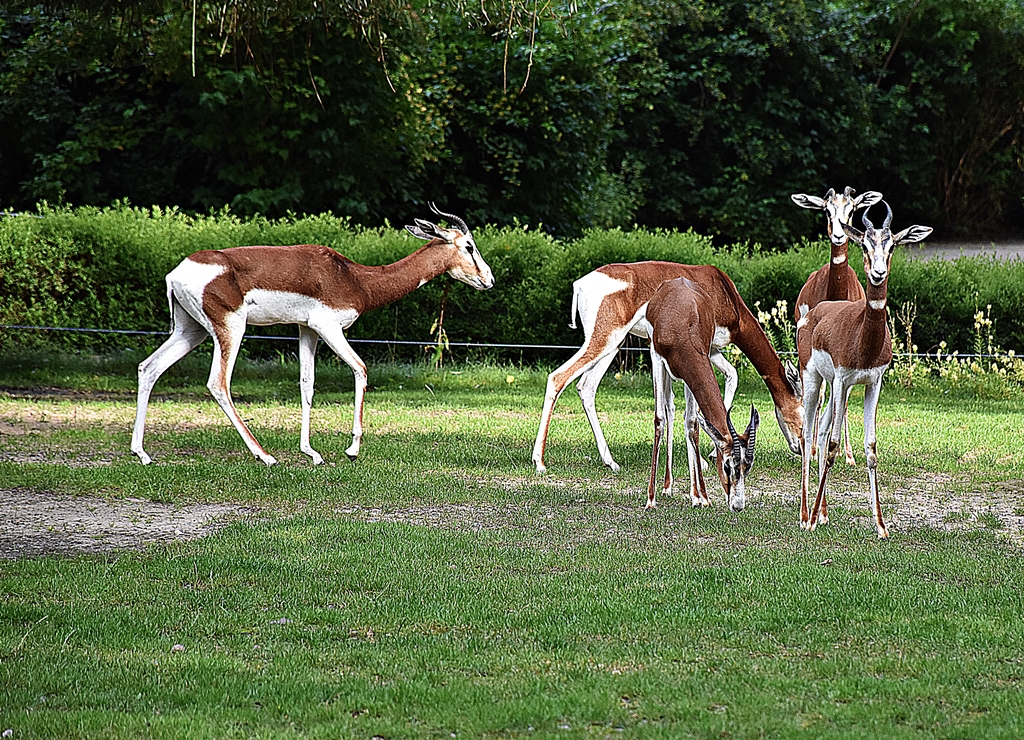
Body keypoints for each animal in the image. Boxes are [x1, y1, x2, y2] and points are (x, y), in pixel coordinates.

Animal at [130, 204, 494, 466]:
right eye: (469, 246)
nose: (489, 280)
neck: (355, 278)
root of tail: (177, 272)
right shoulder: (328, 327)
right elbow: (361, 370)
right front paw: (352, 449)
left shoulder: (306, 329)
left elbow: (307, 384)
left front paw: (312, 453)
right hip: (230, 328)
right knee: (218, 383)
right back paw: (265, 456)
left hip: (190, 331)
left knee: (149, 368)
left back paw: (142, 453)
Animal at [532, 262, 803, 476]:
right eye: (802, 411)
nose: (800, 447)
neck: (723, 291)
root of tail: (581, 284)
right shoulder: (700, 349)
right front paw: (705, 458)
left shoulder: (711, 350)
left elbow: (731, 375)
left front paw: (710, 453)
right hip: (604, 340)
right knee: (557, 377)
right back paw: (540, 462)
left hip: (612, 345)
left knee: (586, 387)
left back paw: (611, 462)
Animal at [646, 275, 765, 512]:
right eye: (728, 465)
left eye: (747, 467)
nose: (738, 505)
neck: (682, 328)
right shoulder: (657, 358)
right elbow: (659, 420)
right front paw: (650, 499)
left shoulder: (693, 368)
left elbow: (693, 424)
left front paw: (701, 497)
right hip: (664, 370)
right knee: (668, 410)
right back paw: (665, 488)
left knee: (682, 416)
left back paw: (682, 490)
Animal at [792, 186, 883, 466]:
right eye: (826, 210)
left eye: (851, 209)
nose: (840, 235)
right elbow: (822, 396)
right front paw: (812, 451)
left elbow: (844, 400)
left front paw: (849, 455)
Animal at [798, 202, 931, 538]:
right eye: (864, 245)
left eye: (892, 245)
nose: (878, 272)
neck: (863, 335)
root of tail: (817, 312)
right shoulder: (844, 380)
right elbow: (832, 446)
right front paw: (812, 518)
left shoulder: (873, 383)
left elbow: (870, 449)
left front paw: (881, 525)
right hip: (815, 380)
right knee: (808, 434)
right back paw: (806, 515)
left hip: (835, 388)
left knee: (820, 431)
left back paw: (824, 514)